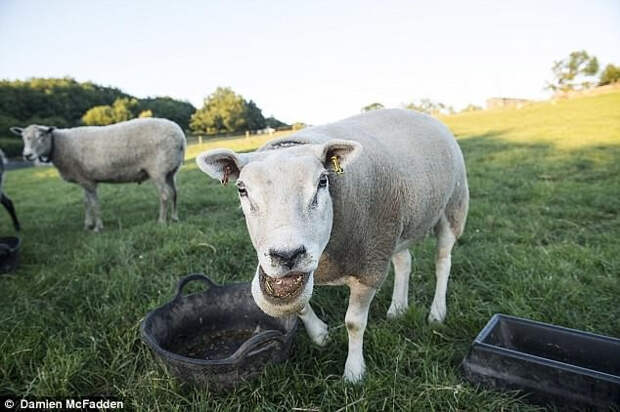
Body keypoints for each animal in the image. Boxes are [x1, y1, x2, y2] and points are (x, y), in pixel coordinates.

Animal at [10, 117, 185, 230]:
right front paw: (88, 225)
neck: (59, 145)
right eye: (23, 138)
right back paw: (175, 218)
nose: (27, 155)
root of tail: (180, 136)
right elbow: (86, 203)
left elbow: (94, 204)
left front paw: (98, 227)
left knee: (164, 195)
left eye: (41, 136)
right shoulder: (83, 178)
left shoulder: (88, 181)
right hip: (171, 169)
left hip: (158, 169)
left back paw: (161, 221)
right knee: (174, 193)